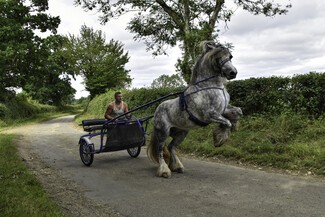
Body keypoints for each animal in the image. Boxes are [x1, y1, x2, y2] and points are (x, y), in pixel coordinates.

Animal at [146, 40, 240, 178]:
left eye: (230, 56)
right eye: (217, 58)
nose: (233, 73)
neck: (210, 86)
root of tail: (157, 110)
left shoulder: (223, 110)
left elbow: (238, 112)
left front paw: (231, 128)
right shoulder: (210, 115)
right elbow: (227, 122)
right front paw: (219, 140)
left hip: (181, 133)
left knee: (171, 147)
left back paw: (177, 167)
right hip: (163, 132)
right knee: (160, 149)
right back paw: (164, 171)